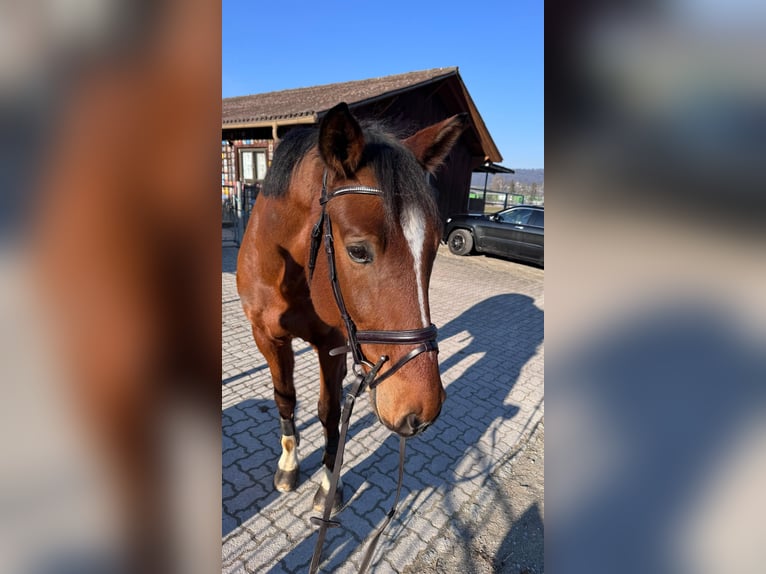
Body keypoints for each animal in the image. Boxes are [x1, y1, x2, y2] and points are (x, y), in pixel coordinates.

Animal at [238, 102, 468, 512]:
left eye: (434, 247)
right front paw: (288, 464)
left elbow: (330, 413)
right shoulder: (266, 337)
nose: (422, 409)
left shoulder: (332, 346)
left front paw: (330, 484)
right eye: (358, 251)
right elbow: (285, 398)